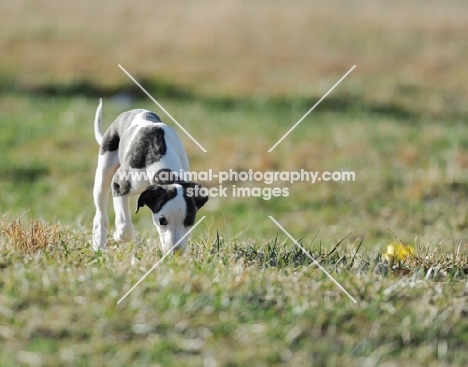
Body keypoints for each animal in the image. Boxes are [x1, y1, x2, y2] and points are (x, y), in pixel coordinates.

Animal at [92, 99, 207, 254]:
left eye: (189, 220)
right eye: (162, 220)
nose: (175, 252)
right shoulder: (119, 185)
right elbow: (124, 227)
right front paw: (119, 237)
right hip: (103, 175)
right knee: (100, 214)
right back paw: (99, 245)